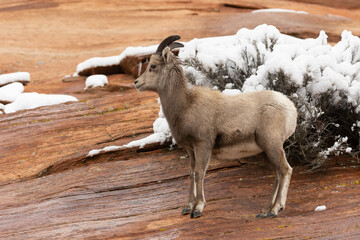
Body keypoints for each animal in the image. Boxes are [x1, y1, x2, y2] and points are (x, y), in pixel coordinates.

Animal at [134, 35, 296, 219]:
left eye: (153, 66)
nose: (136, 83)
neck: (185, 105)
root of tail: (291, 108)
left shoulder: (203, 145)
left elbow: (199, 173)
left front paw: (197, 209)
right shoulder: (191, 150)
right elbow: (191, 173)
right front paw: (187, 207)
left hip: (272, 145)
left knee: (285, 170)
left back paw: (275, 210)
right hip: (265, 151)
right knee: (277, 175)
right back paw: (264, 211)